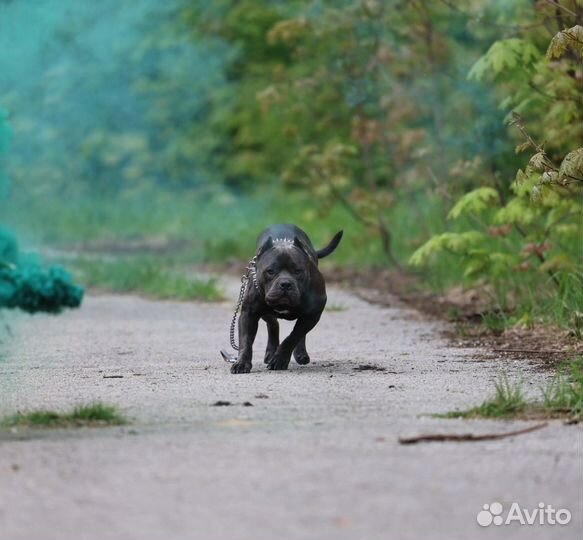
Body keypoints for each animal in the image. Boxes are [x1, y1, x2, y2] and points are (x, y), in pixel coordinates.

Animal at [232, 226, 344, 374]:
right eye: (270, 271)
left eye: (298, 271)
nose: (285, 283)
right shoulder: (248, 314)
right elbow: (246, 341)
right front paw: (241, 363)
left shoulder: (312, 315)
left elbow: (293, 336)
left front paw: (280, 359)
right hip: (264, 312)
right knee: (273, 323)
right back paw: (271, 351)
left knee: (299, 333)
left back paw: (300, 354)